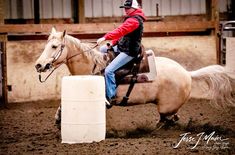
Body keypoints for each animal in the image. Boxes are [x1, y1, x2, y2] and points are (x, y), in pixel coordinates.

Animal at [34, 27, 233, 124]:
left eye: (54, 46)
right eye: (45, 45)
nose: (38, 65)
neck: (93, 66)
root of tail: (187, 73)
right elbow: (62, 105)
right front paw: (58, 119)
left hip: (166, 108)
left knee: (167, 121)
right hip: (168, 109)